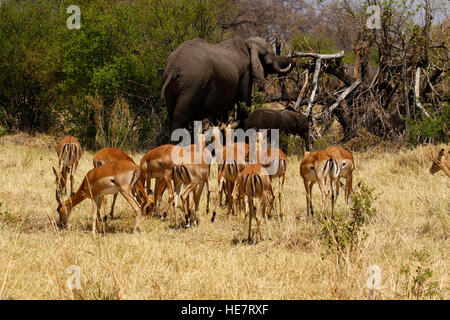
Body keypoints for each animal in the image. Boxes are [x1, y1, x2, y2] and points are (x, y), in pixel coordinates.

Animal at [161, 36, 292, 139]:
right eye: (271, 57)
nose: (291, 61)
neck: (247, 43)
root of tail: (173, 67)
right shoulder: (245, 73)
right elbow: (244, 103)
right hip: (193, 85)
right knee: (179, 119)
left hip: (171, 87)